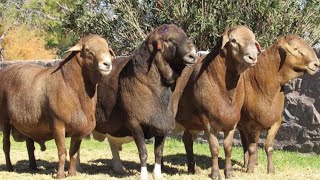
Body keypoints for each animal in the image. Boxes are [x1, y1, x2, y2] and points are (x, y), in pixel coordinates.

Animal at [0, 34, 114, 178]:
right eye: (88, 50)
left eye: (107, 48)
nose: (107, 64)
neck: (69, 84)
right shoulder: (58, 125)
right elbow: (62, 151)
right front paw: (60, 175)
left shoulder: (78, 129)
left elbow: (73, 153)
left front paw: (72, 174)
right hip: (4, 119)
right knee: (6, 144)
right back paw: (9, 168)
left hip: (27, 122)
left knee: (29, 145)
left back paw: (33, 167)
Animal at [238, 33, 320, 173]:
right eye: (296, 49)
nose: (316, 64)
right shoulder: (251, 123)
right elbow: (252, 147)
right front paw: (250, 170)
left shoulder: (276, 121)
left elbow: (269, 147)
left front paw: (271, 170)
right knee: (245, 143)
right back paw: (247, 164)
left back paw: (255, 162)